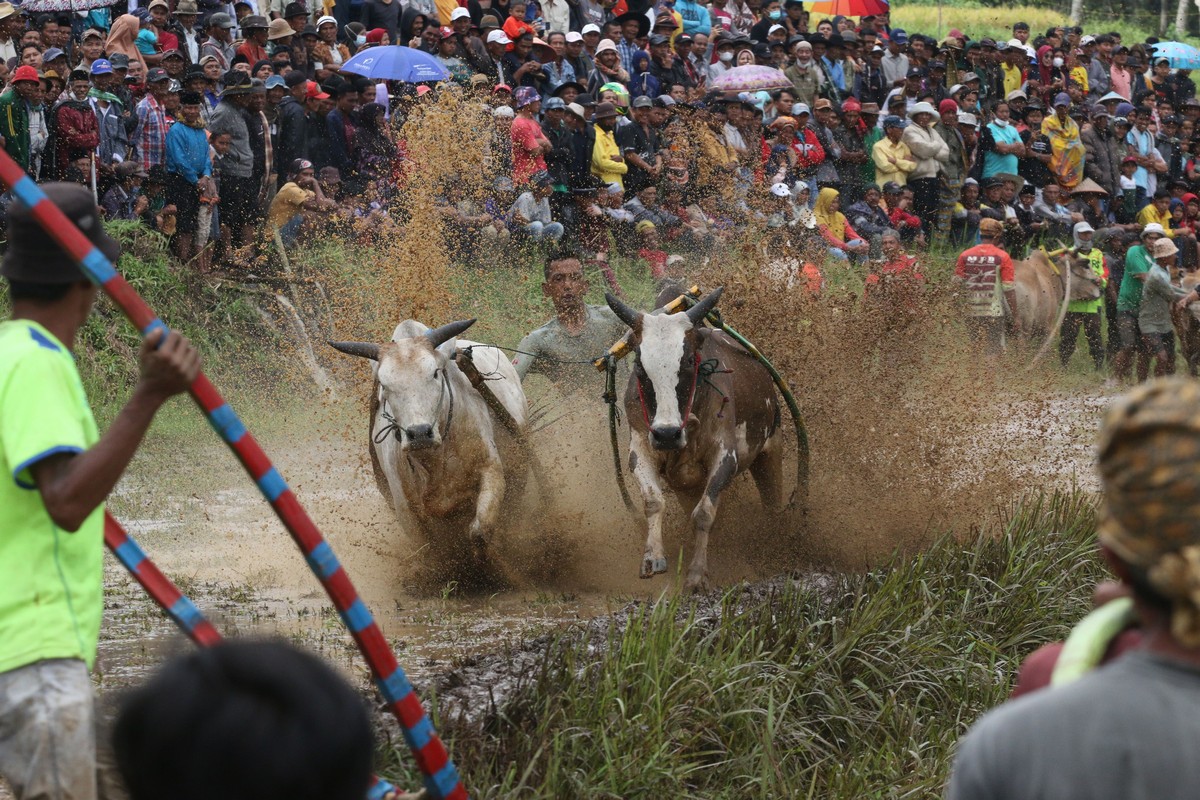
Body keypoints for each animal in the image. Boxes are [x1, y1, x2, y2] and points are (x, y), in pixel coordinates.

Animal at [333, 319, 530, 551]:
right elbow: (430, 550)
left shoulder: (491, 470)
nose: (419, 434)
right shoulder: (406, 510)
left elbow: (479, 532)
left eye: (435, 373)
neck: (434, 460)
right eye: (384, 385)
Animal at [609, 291, 787, 592]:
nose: (667, 434)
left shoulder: (725, 457)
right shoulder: (642, 449)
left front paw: (697, 574)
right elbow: (653, 501)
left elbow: (704, 513)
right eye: (640, 366)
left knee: (773, 503)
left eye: (689, 361)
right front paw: (653, 558)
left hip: (769, 450)